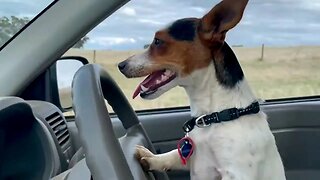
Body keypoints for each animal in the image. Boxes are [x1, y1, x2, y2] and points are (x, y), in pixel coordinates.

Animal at [117, 0, 284, 179]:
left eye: (157, 41)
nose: (120, 65)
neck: (215, 116)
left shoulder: (236, 172)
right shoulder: (192, 156)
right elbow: (173, 155)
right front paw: (151, 158)